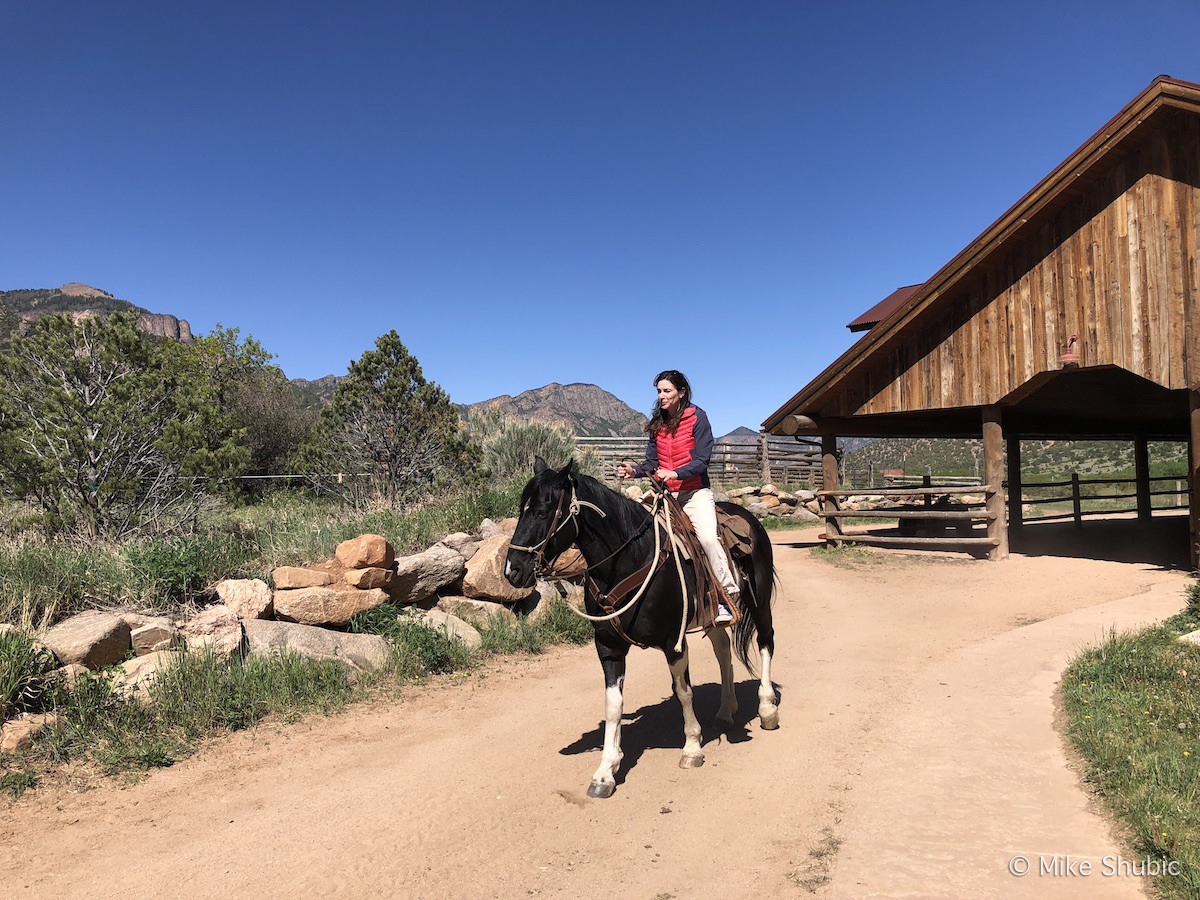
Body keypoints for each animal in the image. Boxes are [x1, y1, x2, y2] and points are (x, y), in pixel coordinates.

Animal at [504, 460, 777, 801]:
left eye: (543, 511)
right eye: (521, 509)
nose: (512, 570)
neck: (629, 560)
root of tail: (749, 518)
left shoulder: (673, 643)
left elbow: (683, 692)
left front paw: (692, 748)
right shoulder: (608, 647)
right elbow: (613, 705)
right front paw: (606, 771)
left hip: (760, 602)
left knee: (766, 643)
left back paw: (767, 708)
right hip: (714, 615)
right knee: (723, 651)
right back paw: (726, 711)